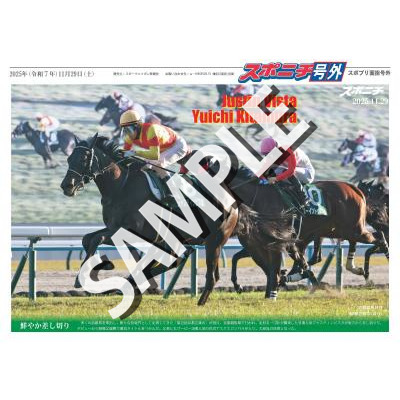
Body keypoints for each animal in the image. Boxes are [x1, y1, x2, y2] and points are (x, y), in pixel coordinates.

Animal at [60, 134, 246, 306]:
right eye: (69, 158)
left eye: (84, 158)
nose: (66, 186)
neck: (121, 187)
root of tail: (231, 199)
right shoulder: (114, 227)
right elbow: (88, 238)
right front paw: (98, 268)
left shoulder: (131, 232)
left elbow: (97, 238)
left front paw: (86, 275)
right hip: (180, 238)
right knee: (176, 262)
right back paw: (133, 282)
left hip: (215, 240)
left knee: (210, 275)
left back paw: (199, 302)